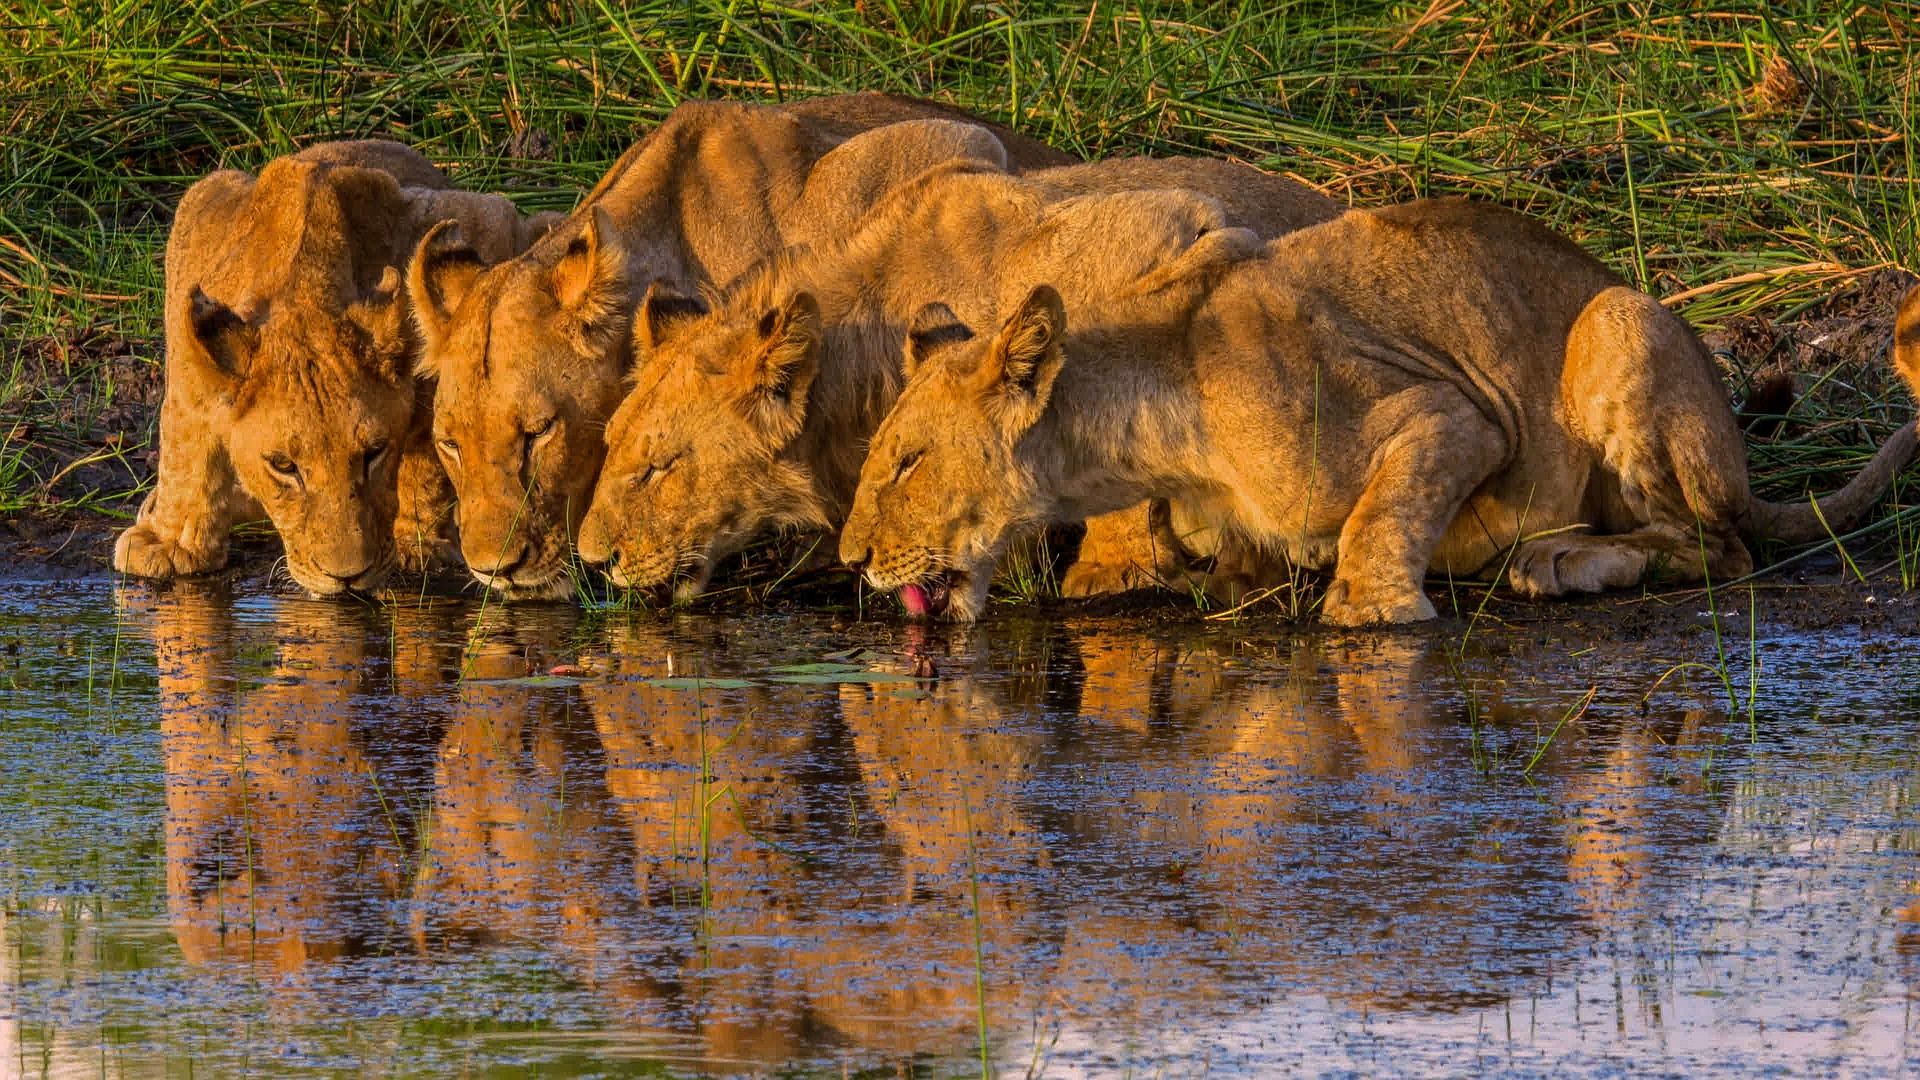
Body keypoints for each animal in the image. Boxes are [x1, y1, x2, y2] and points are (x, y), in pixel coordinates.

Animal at [115, 138, 556, 591]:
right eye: (283, 466)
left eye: (374, 453)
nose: (346, 578)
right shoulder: (197, 228)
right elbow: (184, 439)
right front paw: (170, 542)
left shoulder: (483, 218)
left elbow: (429, 451)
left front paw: (417, 542)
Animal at [844, 195, 1920, 622]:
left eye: (905, 462)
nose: (852, 561)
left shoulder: (1453, 413)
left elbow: (1384, 514)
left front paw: (1372, 608)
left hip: (1618, 319)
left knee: (1718, 546)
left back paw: (1561, 561)